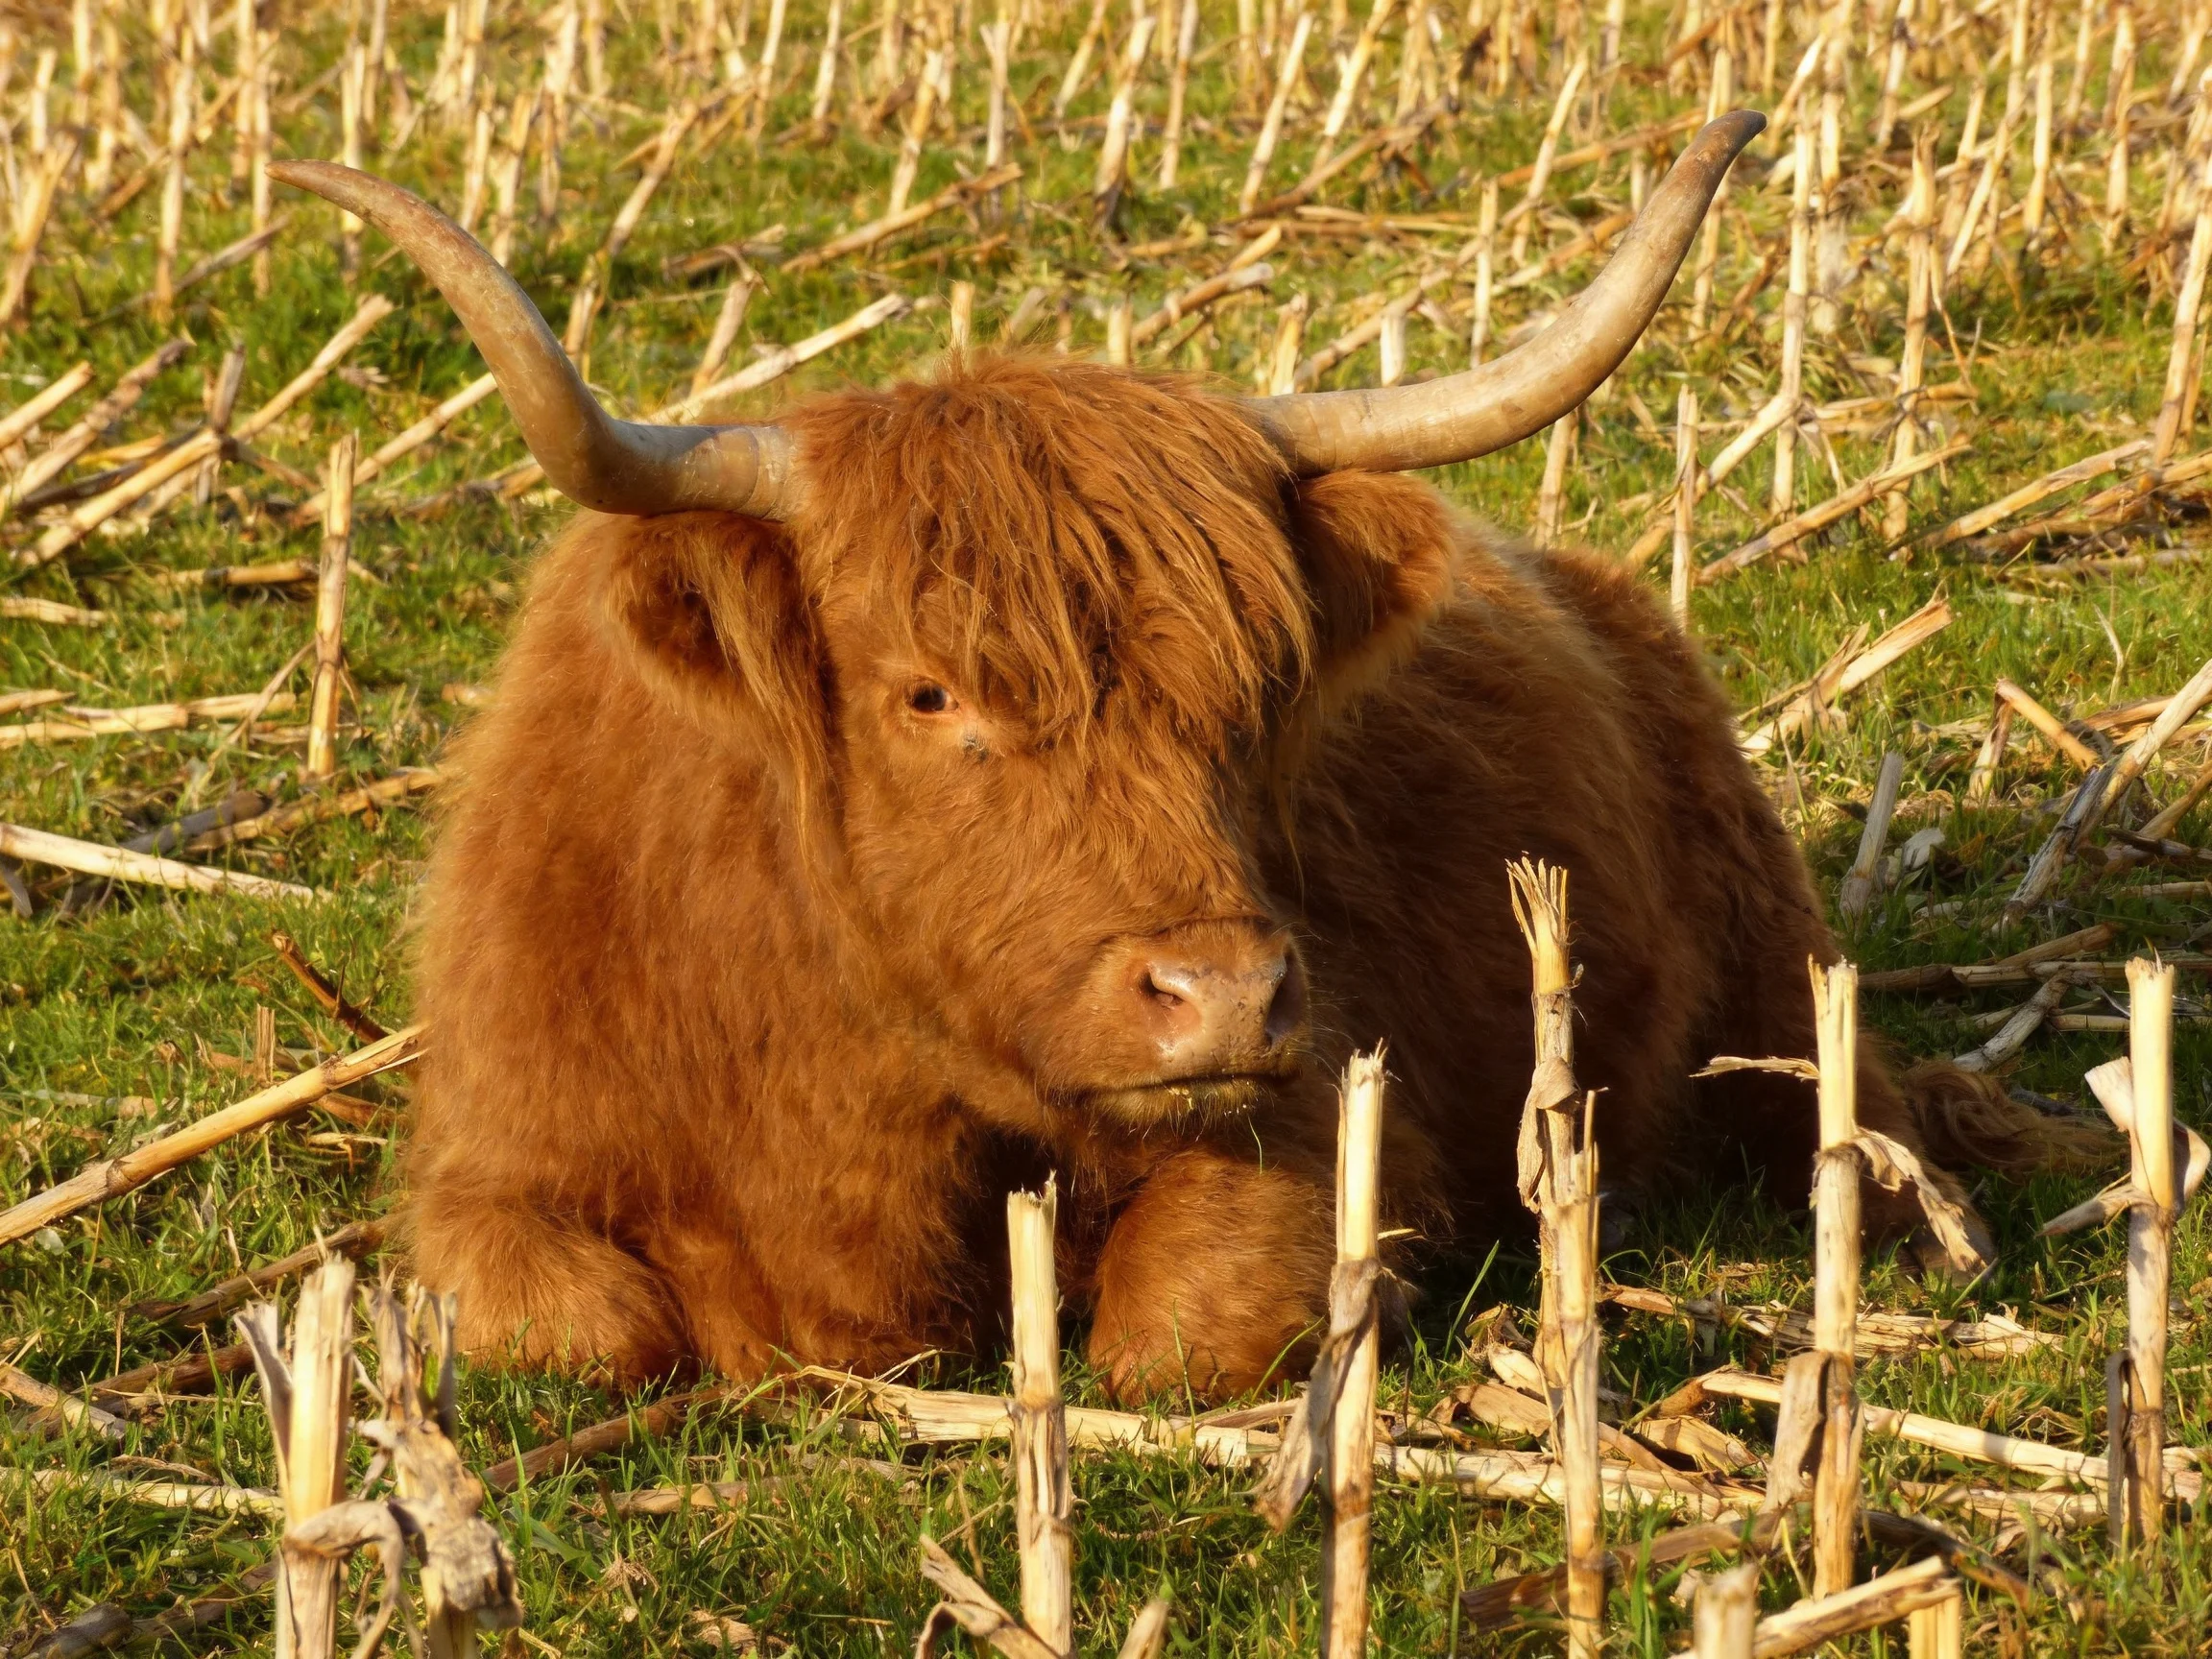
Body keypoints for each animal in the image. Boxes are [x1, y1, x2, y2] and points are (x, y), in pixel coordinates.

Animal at [275, 116, 2037, 1402]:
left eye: (1260, 690)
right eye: (928, 696)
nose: (1225, 995)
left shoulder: (1323, 1121)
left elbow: (1177, 1334)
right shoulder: (500, 1154)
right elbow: (571, 1324)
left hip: (1779, 995)